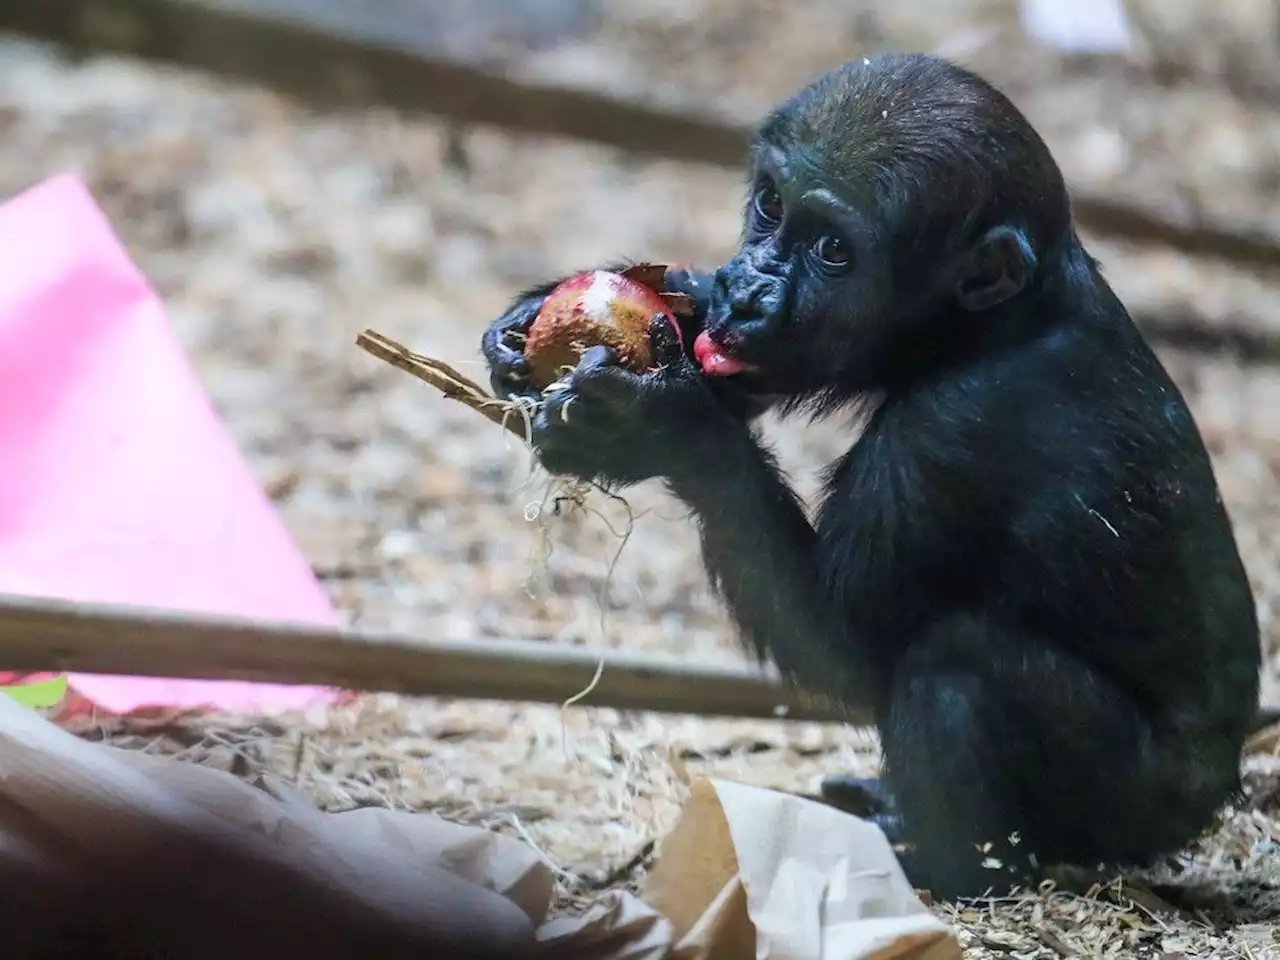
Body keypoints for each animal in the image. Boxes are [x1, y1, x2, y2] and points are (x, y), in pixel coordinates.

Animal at [478, 54, 1259, 901]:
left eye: (833, 250)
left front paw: (655, 427)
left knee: (958, 662)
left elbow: (845, 642)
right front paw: (546, 319)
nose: (746, 291)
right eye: (769, 204)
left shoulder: (949, 431)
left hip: (1133, 806)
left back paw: (947, 865)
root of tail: (1219, 795)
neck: (986, 326)